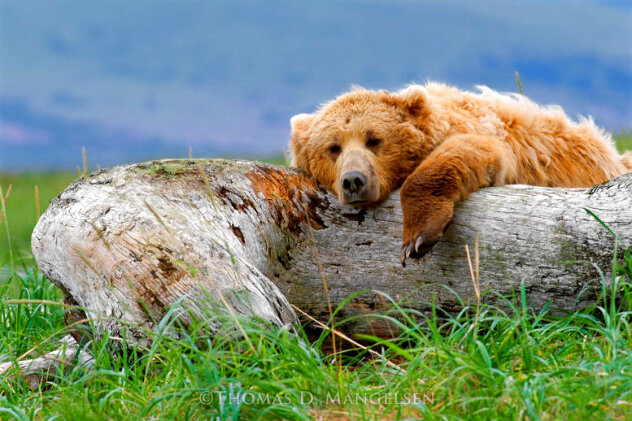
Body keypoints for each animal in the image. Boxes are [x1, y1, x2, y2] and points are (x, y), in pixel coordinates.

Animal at [288, 82, 632, 264]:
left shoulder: (489, 136)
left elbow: (468, 152)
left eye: (374, 139)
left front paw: (417, 239)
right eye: (333, 147)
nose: (353, 180)